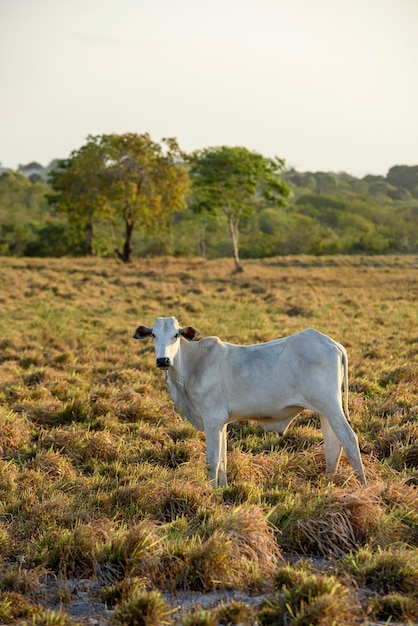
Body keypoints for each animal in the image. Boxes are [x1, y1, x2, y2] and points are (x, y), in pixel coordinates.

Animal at [134, 316, 366, 488]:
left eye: (175, 335)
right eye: (153, 335)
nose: (163, 360)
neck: (194, 365)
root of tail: (332, 344)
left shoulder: (212, 420)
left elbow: (212, 461)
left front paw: (210, 494)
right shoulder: (221, 423)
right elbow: (223, 461)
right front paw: (222, 490)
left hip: (331, 406)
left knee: (349, 440)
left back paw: (363, 485)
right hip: (324, 411)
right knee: (333, 445)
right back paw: (329, 484)